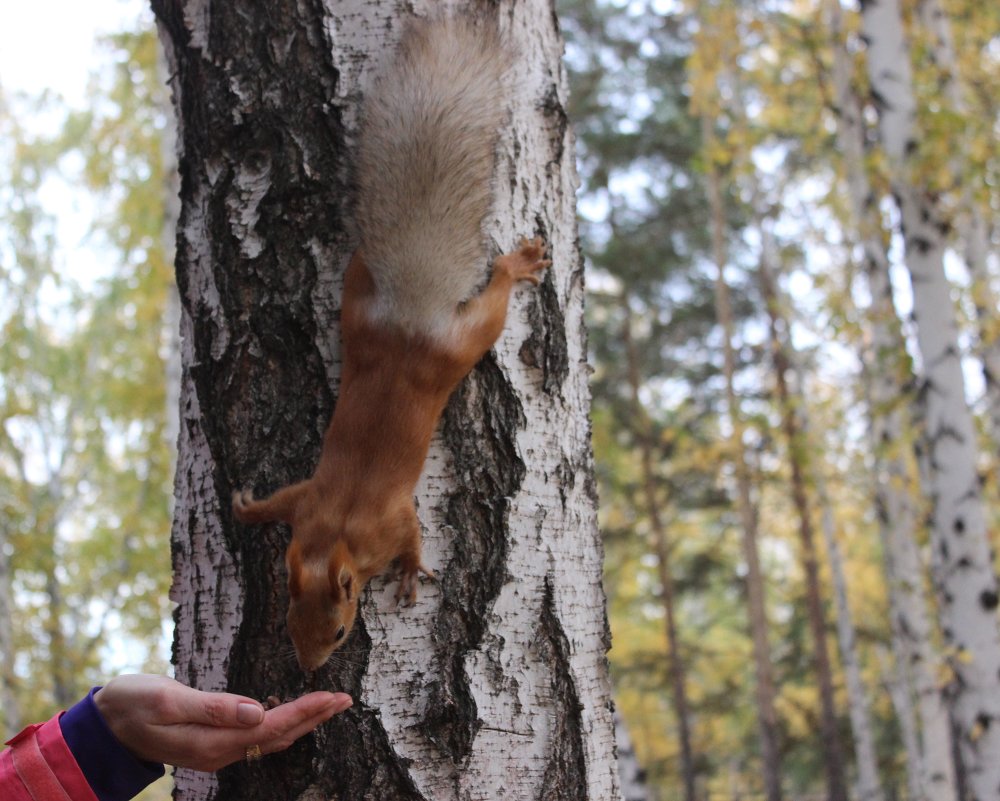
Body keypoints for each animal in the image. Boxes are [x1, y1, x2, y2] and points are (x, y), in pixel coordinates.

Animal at [231, 15, 552, 672]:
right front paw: (249, 507)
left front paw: (409, 573)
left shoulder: (388, 519)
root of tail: (411, 317)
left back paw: (517, 265)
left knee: (494, 300)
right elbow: (281, 501)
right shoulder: (307, 502)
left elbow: (411, 536)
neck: (336, 538)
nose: (307, 669)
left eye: (339, 631)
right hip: (362, 311)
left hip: (462, 341)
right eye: (288, 620)